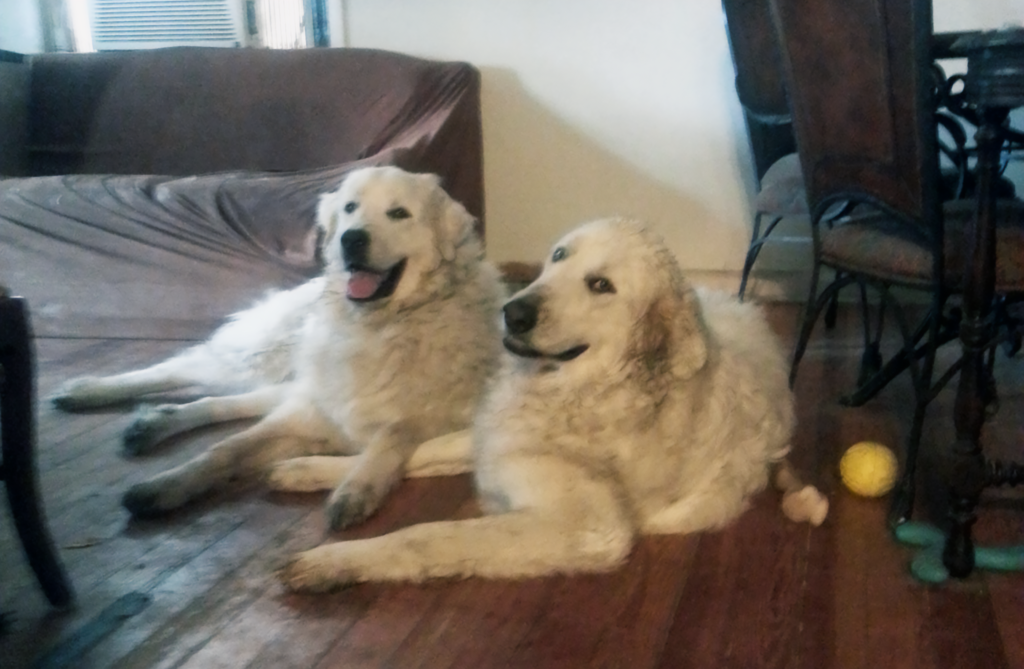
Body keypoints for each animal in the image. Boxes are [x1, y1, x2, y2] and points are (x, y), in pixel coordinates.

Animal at [49, 165, 505, 528]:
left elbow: (391, 438)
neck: (379, 326)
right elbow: (226, 448)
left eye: (398, 214)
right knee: (181, 372)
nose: (351, 239)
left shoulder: (413, 421)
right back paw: (86, 391)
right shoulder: (308, 417)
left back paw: (152, 424)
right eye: (351, 209)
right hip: (265, 359)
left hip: (290, 380)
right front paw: (168, 485)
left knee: (221, 400)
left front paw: (355, 490)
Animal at [270, 215, 823, 590]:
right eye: (559, 256)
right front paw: (315, 471)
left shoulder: (585, 527)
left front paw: (334, 562)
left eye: (601, 285)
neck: (585, 390)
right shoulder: (496, 438)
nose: (513, 312)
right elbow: (416, 451)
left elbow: (430, 534)